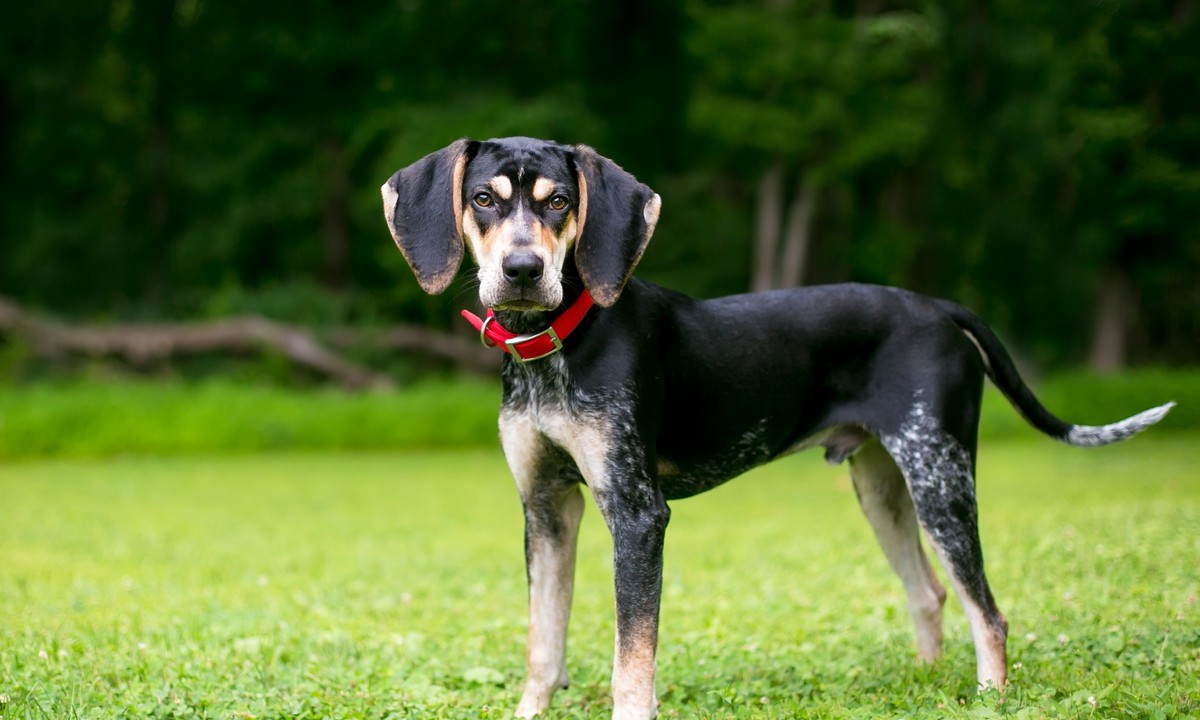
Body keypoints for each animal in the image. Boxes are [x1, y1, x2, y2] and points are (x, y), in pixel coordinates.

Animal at [381, 136, 1171, 720]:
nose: (522, 270)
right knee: (930, 593)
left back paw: (986, 695)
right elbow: (544, 646)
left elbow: (632, 659)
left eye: (562, 203)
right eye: (483, 199)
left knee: (990, 612)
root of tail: (937, 307)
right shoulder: (545, 508)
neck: (558, 345)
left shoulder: (637, 514)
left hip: (943, 480)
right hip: (885, 486)